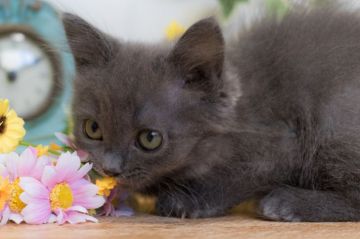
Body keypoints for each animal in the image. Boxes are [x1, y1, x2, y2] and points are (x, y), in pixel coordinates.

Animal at [64, 8, 360, 222]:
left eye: (150, 138)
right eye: (92, 129)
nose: (111, 168)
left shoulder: (280, 141)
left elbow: (238, 175)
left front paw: (186, 201)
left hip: (333, 119)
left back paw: (286, 202)